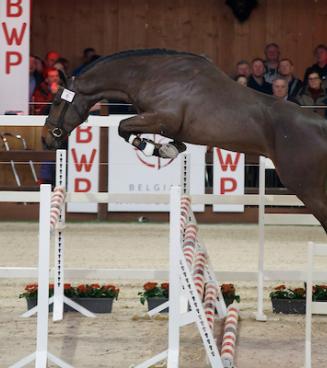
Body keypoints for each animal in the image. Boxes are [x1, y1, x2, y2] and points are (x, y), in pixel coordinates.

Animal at [43, 49, 327, 233]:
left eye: (56, 101)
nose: (46, 138)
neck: (149, 75)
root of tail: (320, 126)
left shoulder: (163, 118)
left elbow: (124, 128)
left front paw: (153, 148)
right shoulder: (169, 125)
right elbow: (169, 140)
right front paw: (168, 148)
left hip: (306, 187)